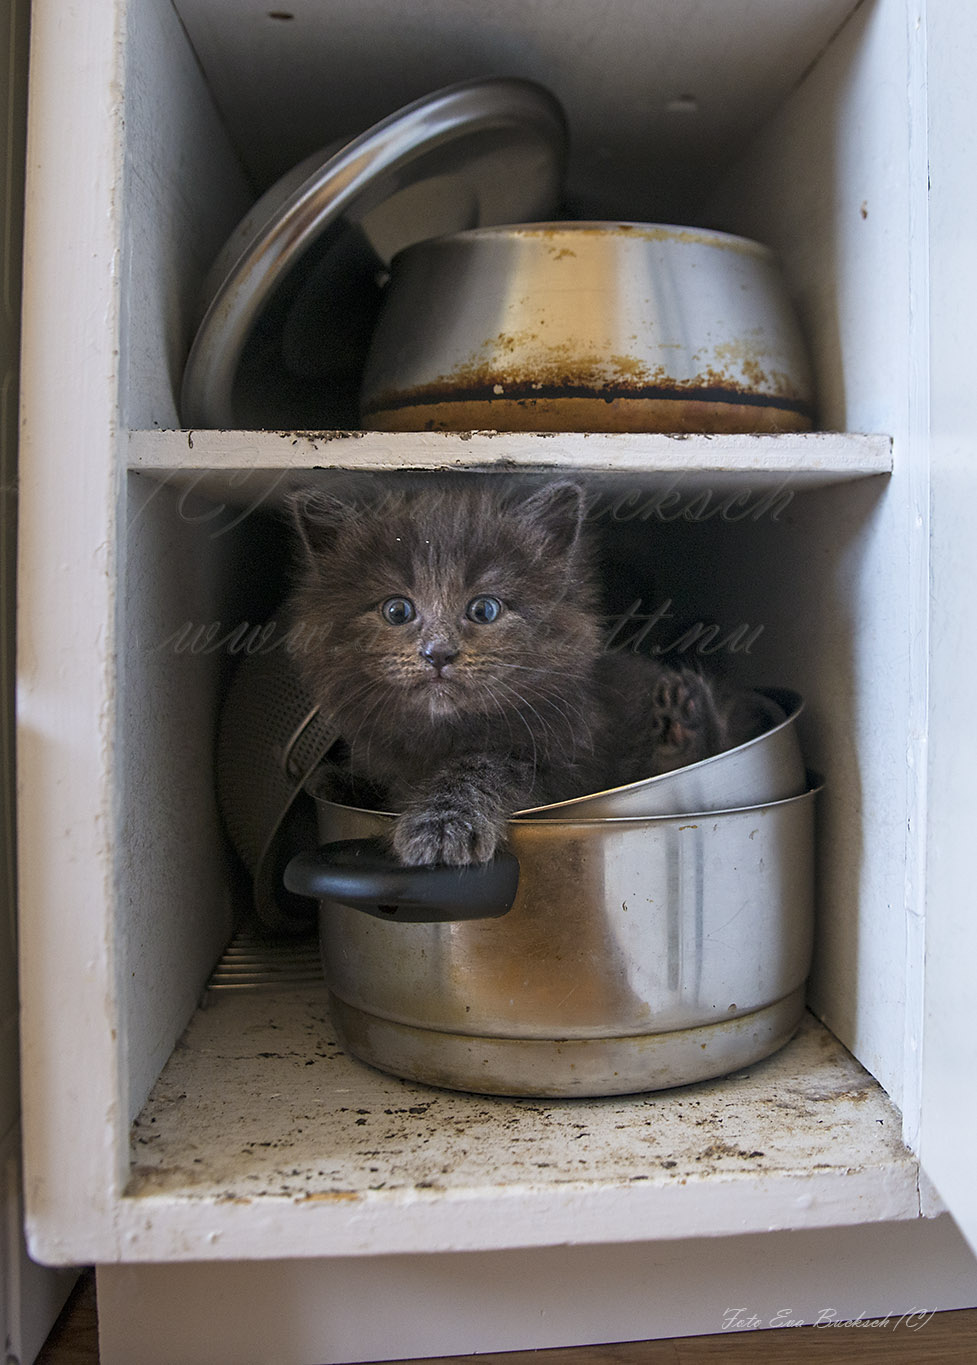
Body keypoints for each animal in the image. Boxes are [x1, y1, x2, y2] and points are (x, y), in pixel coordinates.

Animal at [286, 480, 758, 862]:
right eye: (397, 610)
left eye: (484, 609)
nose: (438, 654)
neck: (442, 735)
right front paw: (339, 780)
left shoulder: (563, 761)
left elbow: (482, 768)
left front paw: (441, 824)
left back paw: (684, 720)